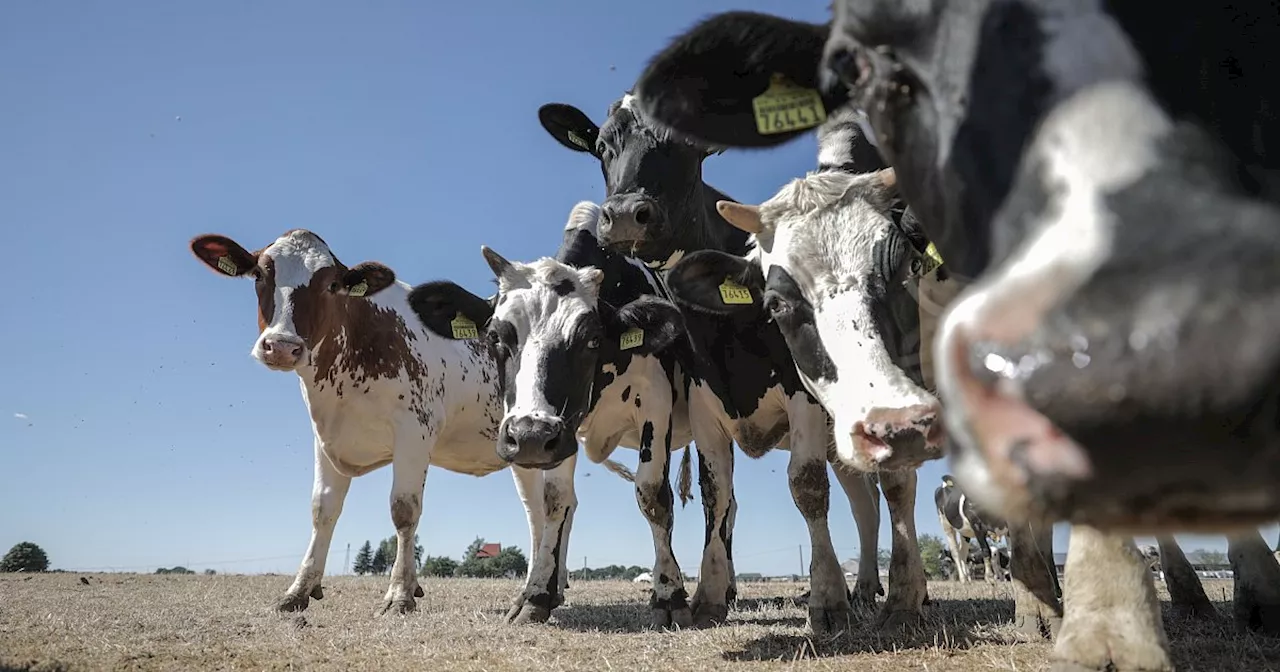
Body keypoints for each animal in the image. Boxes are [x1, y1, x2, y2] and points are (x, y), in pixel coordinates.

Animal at [188, 227, 570, 616]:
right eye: (260, 275)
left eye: (331, 285)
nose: (281, 345)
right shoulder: (326, 437)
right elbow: (322, 509)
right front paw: (299, 589)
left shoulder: (415, 431)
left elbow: (404, 509)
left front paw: (399, 593)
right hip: (523, 449)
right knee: (537, 513)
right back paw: (541, 589)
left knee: (558, 504)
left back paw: (539, 593)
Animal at [529, 94, 890, 629]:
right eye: (601, 146)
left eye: (686, 143)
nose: (625, 215)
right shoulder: (703, 402)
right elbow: (716, 492)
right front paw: (712, 594)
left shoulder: (800, 396)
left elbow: (805, 486)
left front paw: (827, 598)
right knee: (863, 502)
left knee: (877, 499)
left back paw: (876, 588)